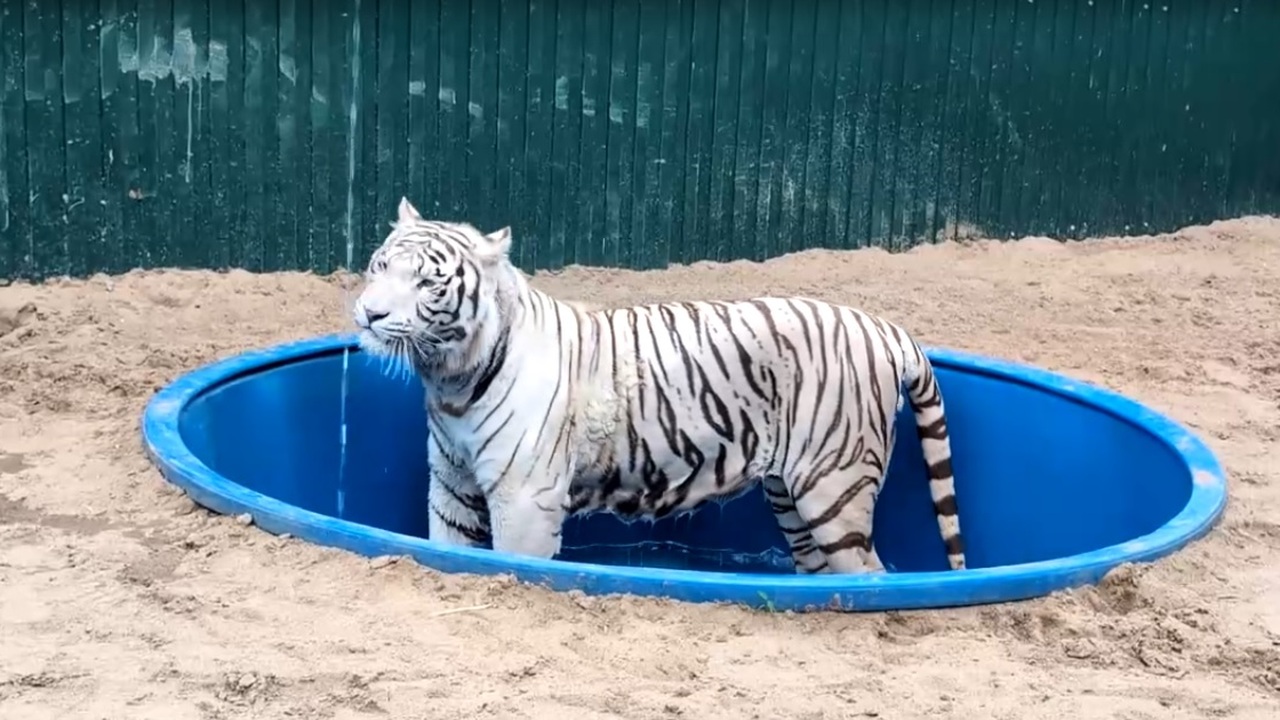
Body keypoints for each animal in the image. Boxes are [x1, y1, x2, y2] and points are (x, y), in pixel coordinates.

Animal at [351, 197, 966, 574]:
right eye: (379, 266)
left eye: (427, 284)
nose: (370, 314)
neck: (450, 378)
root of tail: (886, 328)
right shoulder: (452, 485)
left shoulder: (524, 498)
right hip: (789, 493)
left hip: (833, 488)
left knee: (870, 575)